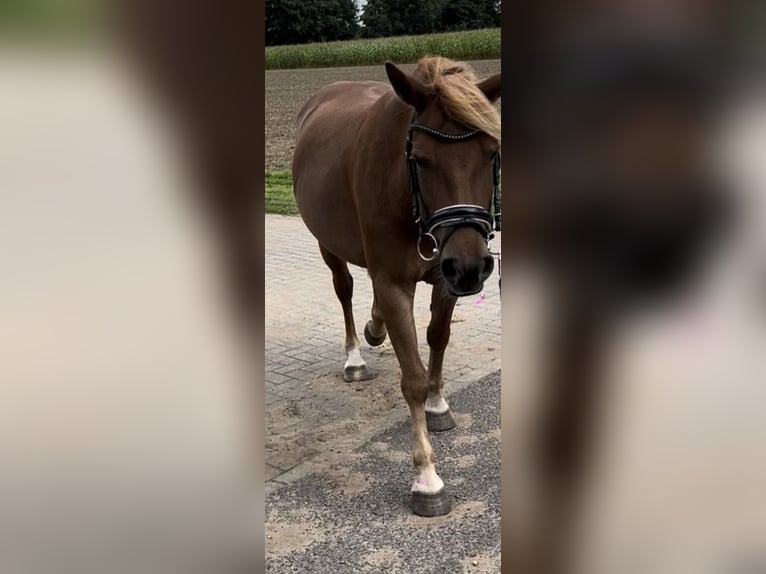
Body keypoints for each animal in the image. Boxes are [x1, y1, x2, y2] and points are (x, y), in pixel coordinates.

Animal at [292, 57, 501, 517]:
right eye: (420, 159)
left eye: (492, 152)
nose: (472, 267)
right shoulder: (394, 283)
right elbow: (413, 379)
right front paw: (427, 478)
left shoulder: (443, 276)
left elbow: (437, 338)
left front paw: (439, 405)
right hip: (328, 245)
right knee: (345, 289)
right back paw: (355, 356)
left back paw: (375, 328)